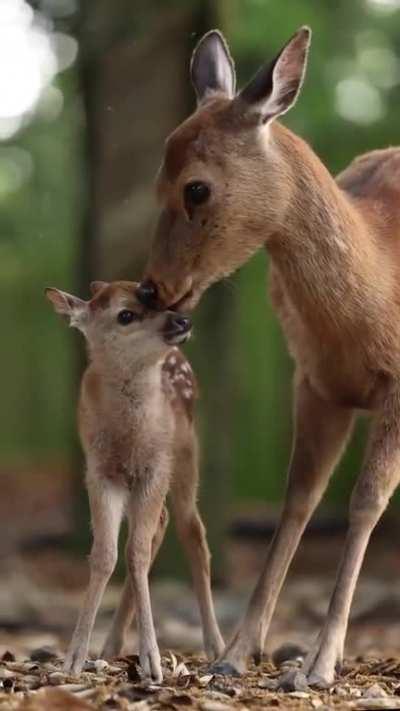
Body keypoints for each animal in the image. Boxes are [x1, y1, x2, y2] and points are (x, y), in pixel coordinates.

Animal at [45, 281, 224, 681]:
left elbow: (136, 552)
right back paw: (111, 645)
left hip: (185, 454)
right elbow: (105, 554)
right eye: (125, 314)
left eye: (157, 299)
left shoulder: (155, 467)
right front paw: (75, 658)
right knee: (161, 525)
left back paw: (216, 645)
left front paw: (153, 662)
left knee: (192, 531)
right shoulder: (98, 472)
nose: (182, 320)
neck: (128, 437)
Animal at [134, 26, 400, 688]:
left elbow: (365, 500)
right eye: (156, 182)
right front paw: (235, 652)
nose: (152, 287)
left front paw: (321, 663)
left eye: (196, 186)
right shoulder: (316, 383)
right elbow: (297, 499)